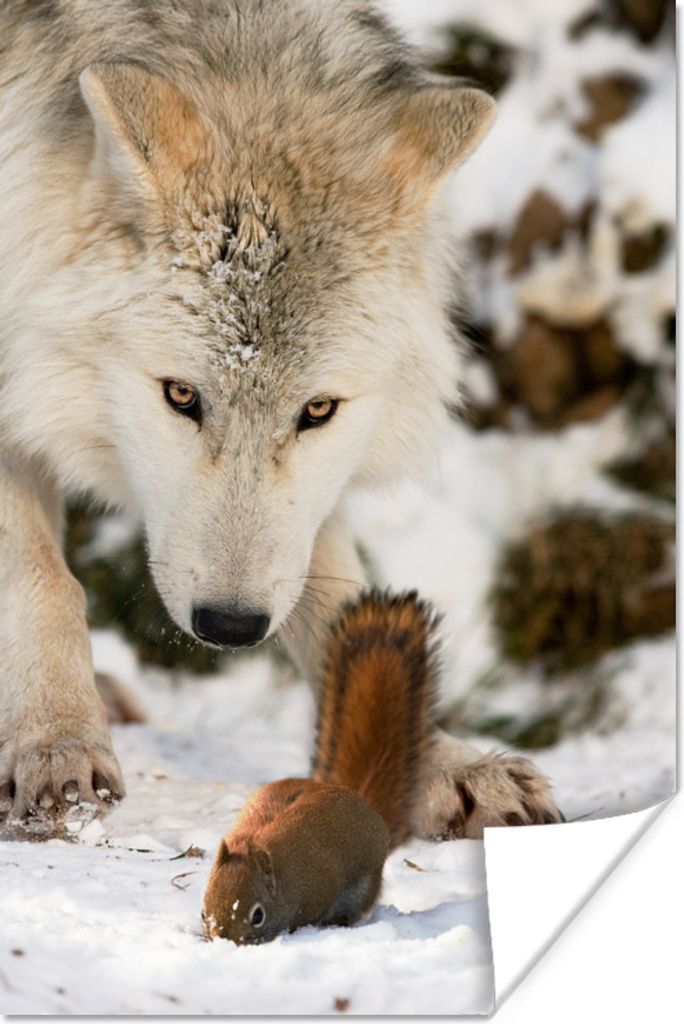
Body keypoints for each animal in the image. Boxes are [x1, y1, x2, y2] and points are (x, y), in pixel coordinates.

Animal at [0, 0, 561, 832]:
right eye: (181, 396)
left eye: (318, 410)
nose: (231, 626)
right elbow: (43, 580)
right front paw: (54, 746)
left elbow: (339, 593)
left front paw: (441, 764)